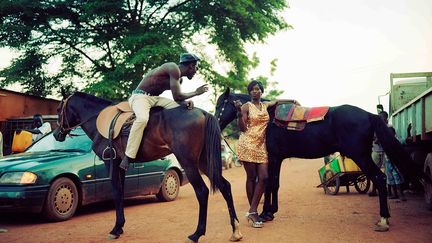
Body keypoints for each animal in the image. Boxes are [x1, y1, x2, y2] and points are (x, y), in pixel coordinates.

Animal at [52, 92, 241, 242]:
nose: (56, 134)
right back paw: (235, 230)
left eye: (59, 109)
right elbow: (120, 193)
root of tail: (203, 112)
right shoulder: (120, 166)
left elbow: (116, 192)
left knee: (202, 192)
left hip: (189, 163)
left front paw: (116, 229)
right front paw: (120, 226)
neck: (101, 120)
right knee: (225, 186)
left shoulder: (111, 163)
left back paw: (197, 234)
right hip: (204, 162)